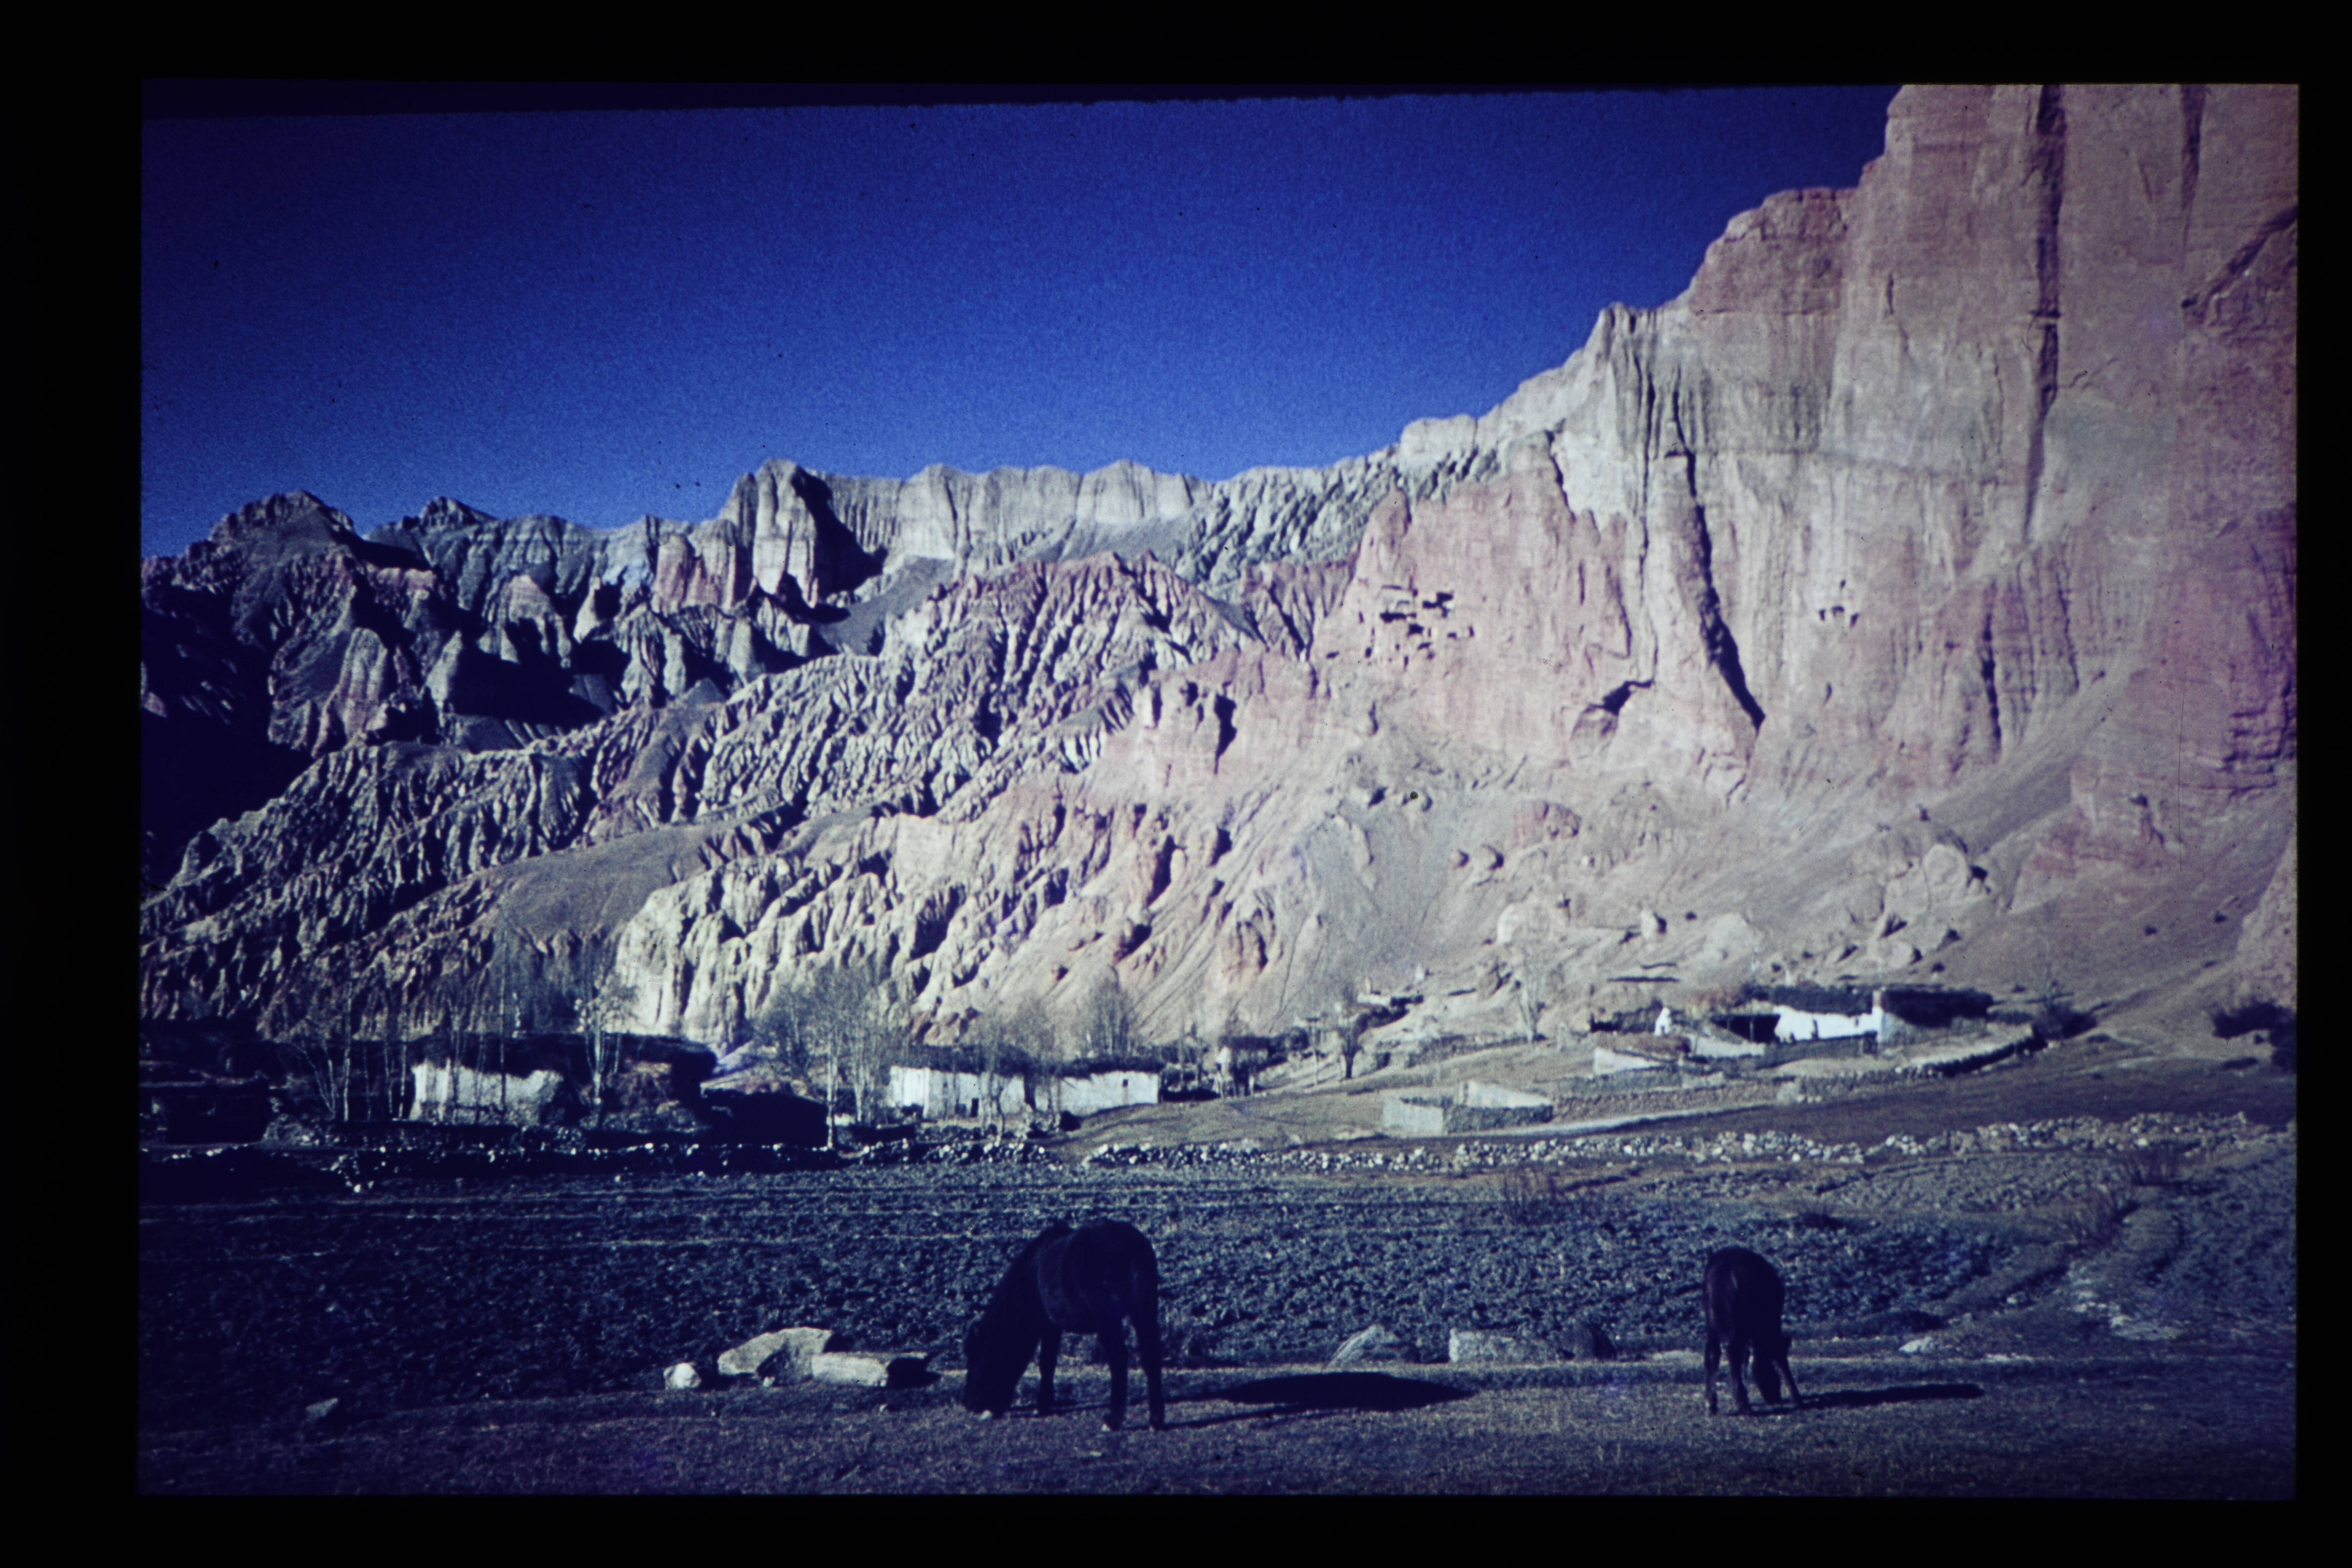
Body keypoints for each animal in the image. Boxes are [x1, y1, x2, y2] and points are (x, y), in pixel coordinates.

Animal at [962, 1220, 1166, 1431]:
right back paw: (1156, 1420)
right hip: (1145, 1310)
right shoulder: (1053, 1327)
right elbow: (1050, 1362)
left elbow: (1046, 1363)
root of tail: (1129, 1244)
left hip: (1107, 1319)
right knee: (1151, 1356)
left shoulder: (1048, 1325)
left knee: (1119, 1358)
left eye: (976, 1357)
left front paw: (1043, 1405)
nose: (969, 1404)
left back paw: (1113, 1420)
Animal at [1702, 1246, 1802, 1416]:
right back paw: (1743, 1403)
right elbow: (1777, 1356)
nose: (1776, 1397)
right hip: (1737, 1323)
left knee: (1713, 1354)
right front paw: (1796, 1396)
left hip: (1712, 1321)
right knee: (1733, 1354)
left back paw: (1712, 1404)